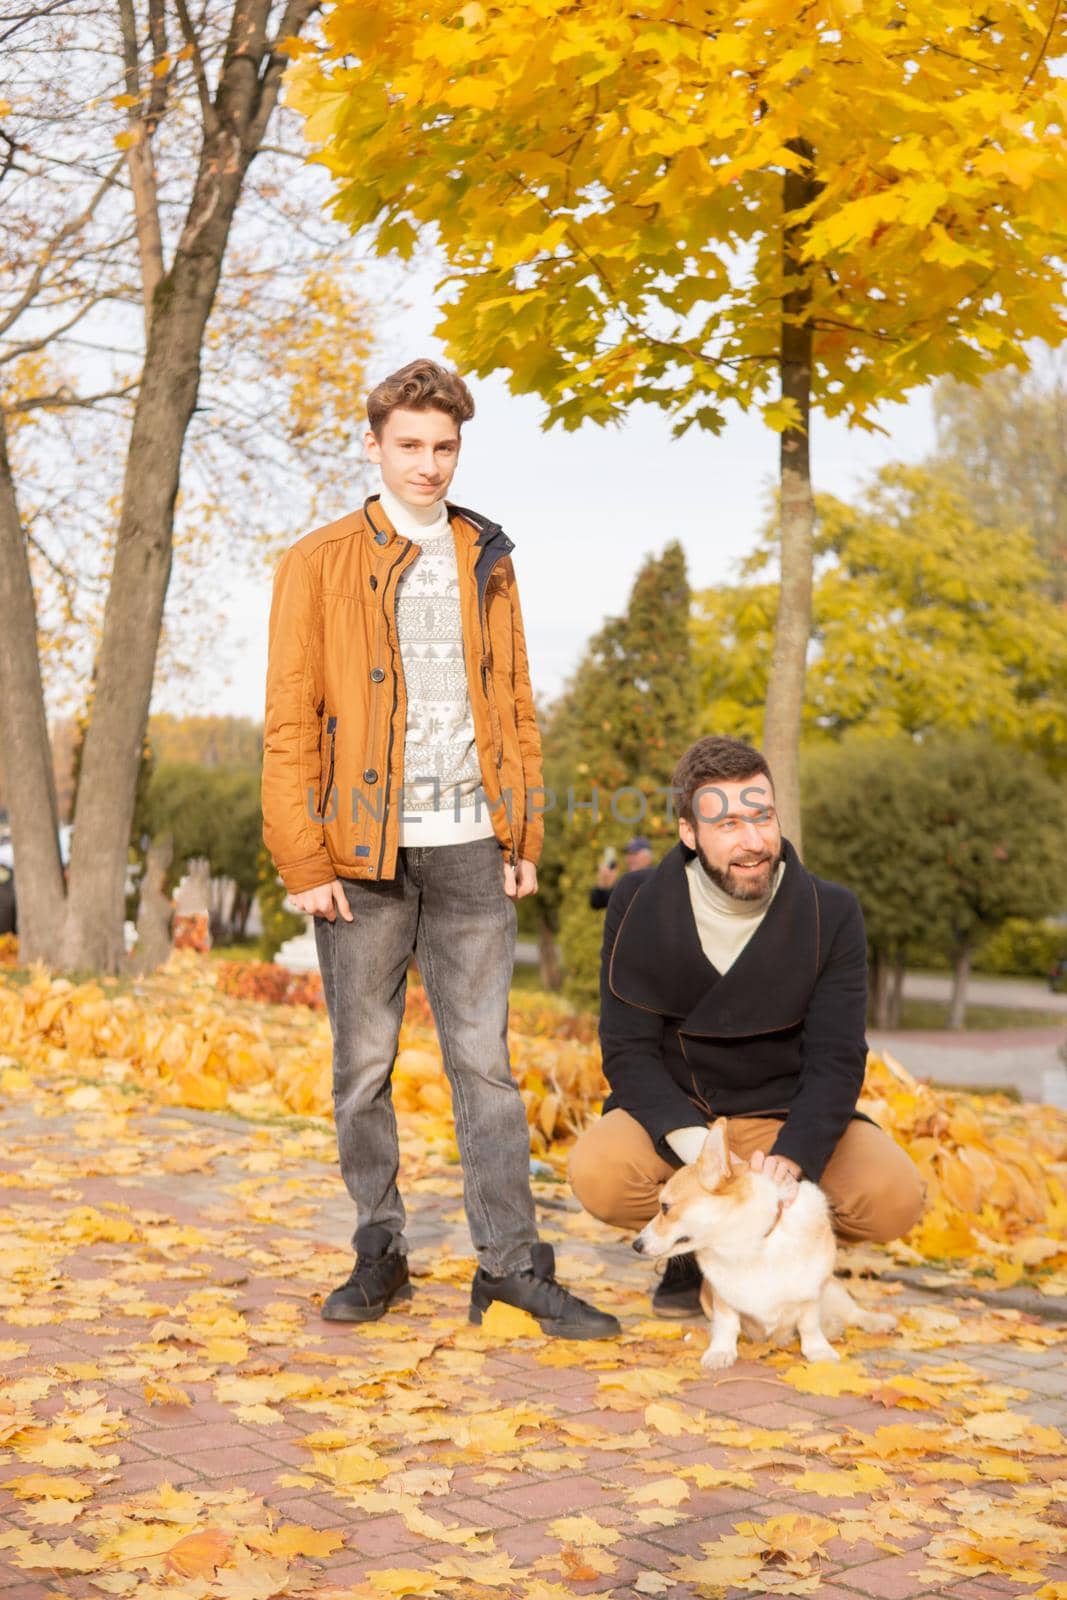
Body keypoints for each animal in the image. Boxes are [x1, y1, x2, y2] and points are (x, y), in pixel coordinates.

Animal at [633, 1120, 895, 1369]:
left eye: (665, 1207)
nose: (636, 1245)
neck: (747, 1245)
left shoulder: (811, 1291)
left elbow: (809, 1324)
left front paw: (818, 1351)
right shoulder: (722, 1297)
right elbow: (727, 1324)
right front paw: (721, 1352)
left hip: (831, 1289)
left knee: (852, 1312)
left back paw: (874, 1322)